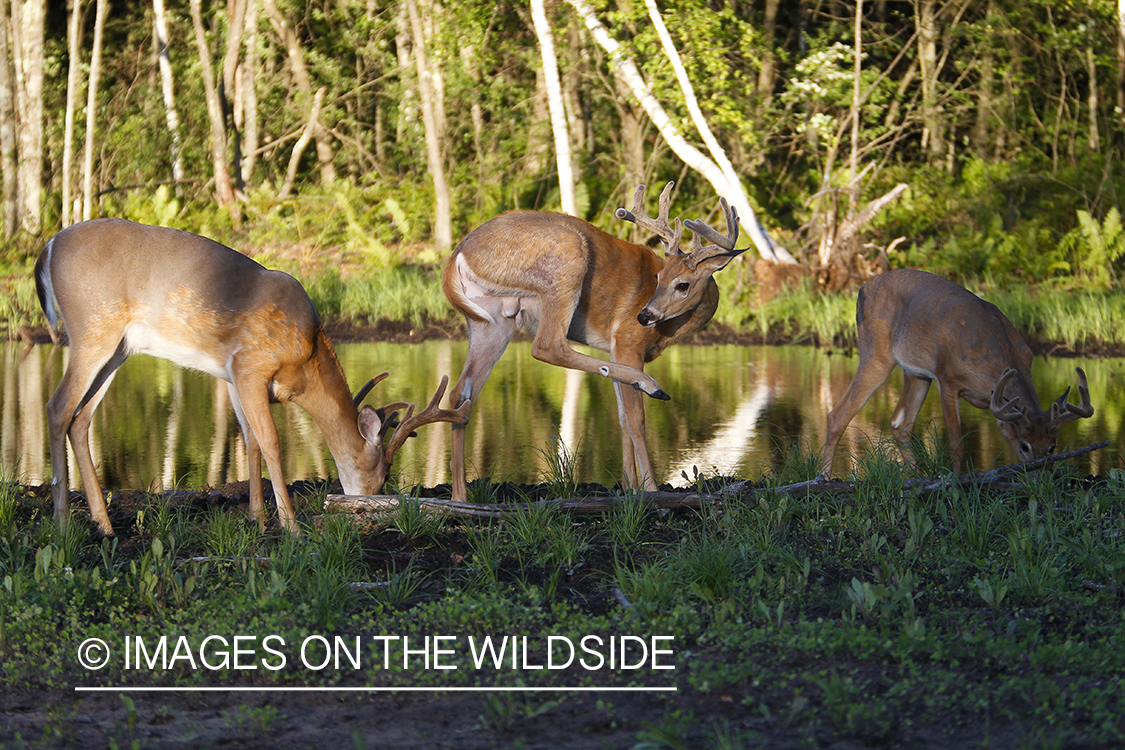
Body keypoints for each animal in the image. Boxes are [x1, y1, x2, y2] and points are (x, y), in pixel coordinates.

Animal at [37, 217, 470, 532]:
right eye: (381, 472)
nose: (370, 500)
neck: (306, 357)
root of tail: (47, 248)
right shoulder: (251, 364)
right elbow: (272, 442)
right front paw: (291, 526)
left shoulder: (231, 374)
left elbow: (251, 441)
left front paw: (257, 519)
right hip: (94, 326)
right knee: (58, 407)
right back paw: (62, 522)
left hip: (119, 348)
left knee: (81, 418)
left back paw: (104, 524)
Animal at [441, 179, 747, 503]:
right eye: (658, 277)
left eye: (682, 284)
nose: (644, 315)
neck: (671, 328)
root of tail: (457, 255)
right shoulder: (626, 341)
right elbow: (636, 420)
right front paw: (649, 489)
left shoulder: (613, 350)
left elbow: (622, 418)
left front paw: (630, 485)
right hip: (566, 260)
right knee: (547, 346)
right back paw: (652, 385)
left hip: (491, 320)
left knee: (461, 392)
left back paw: (460, 496)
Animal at [823, 270, 1093, 481]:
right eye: (1026, 445)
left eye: (1052, 447)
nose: (1042, 475)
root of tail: (862, 289)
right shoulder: (948, 379)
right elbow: (956, 443)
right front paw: (955, 482)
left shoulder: (998, 402)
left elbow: (1005, 432)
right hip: (877, 354)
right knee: (837, 415)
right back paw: (823, 478)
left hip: (917, 374)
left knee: (900, 423)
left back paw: (915, 477)